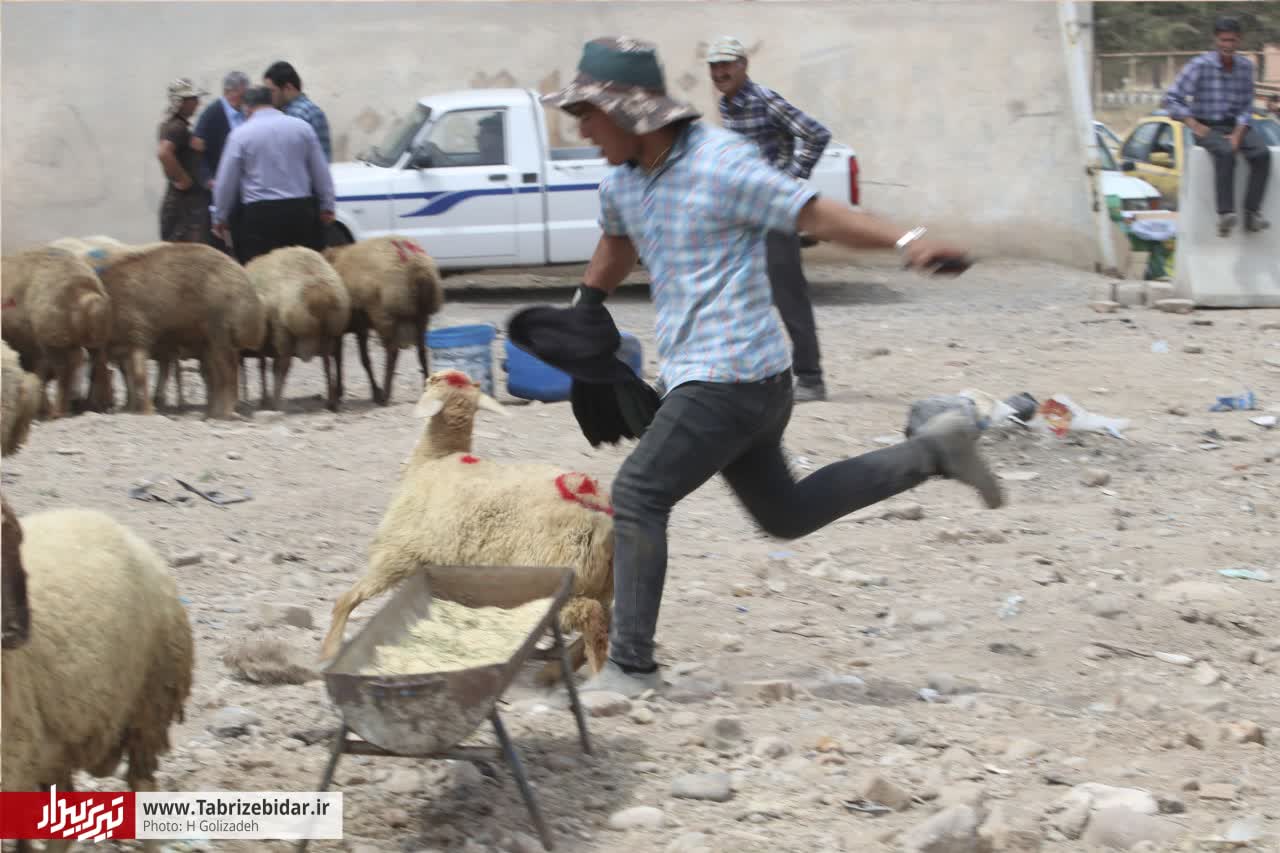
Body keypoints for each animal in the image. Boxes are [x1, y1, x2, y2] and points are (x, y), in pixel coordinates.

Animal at [0, 246, 112, 419]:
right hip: (91, 337)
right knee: (97, 362)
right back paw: (95, 406)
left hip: (53, 338)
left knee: (65, 369)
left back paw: (59, 411)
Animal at [86, 242, 266, 419]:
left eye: (92, 377)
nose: (92, 407)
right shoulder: (125, 348)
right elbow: (131, 379)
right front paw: (133, 408)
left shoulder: (138, 336)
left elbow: (139, 376)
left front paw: (147, 410)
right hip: (211, 342)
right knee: (216, 376)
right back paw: (213, 412)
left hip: (220, 334)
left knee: (228, 375)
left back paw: (222, 412)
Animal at [243, 246, 352, 412]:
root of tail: (321, 296)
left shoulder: (267, 335)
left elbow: (263, 366)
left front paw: (265, 400)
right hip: (329, 334)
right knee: (328, 362)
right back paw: (331, 402)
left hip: (283, 330)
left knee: (282, 365)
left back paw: (276, 402)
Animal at [320, 369, 614, 687]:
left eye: (435, 381)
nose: (428, 376)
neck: (436, 458)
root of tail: (593, 504)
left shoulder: (398, 552)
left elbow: (349, 598)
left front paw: (329, 650)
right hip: (600, 584)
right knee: (605, 620)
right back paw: (555, 671)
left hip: (559, 575)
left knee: (592, 617)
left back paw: (591, 676)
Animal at [322, 236, 444, 405]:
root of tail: (418, 269)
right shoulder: (359, 327)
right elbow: (361, 359)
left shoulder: (346, 328)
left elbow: (343, 358)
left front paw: (345, 391)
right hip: (421, 316)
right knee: (422, 351)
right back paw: (424, 388)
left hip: (384, 315)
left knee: (392, 352)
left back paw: (385, 395)